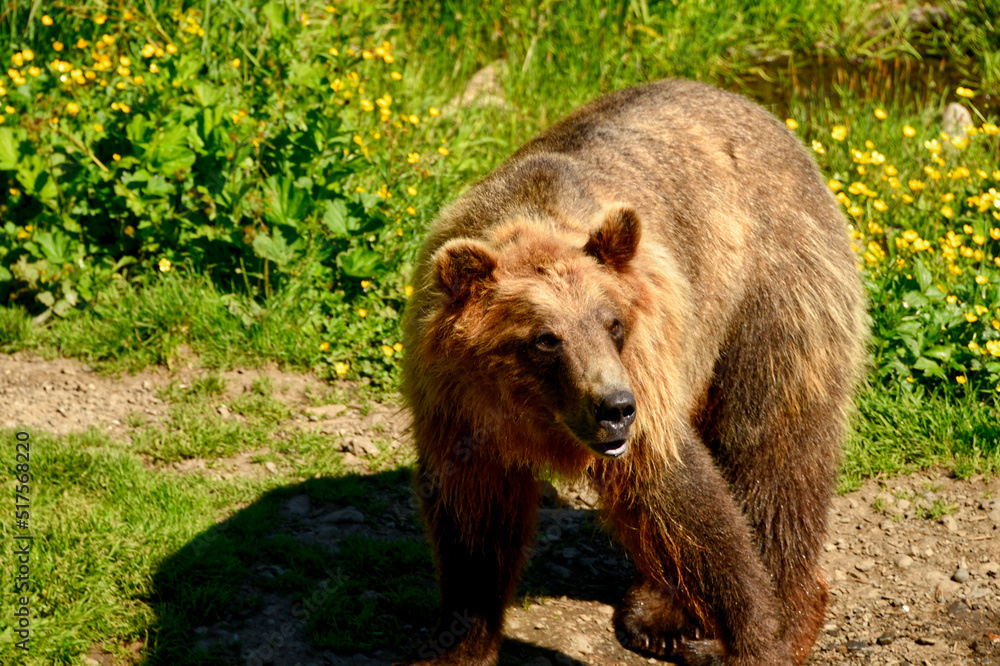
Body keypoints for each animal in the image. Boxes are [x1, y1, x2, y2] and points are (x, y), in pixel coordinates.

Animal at [400, 79, 866, 665]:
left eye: (613, 322)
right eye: (546, 338)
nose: (615, 408)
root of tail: (773, 120)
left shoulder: (647, 360)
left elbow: (679, 494)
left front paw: (757, 637)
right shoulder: (455, 404)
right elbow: (474, 521)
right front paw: (456, 642)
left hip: (772, 298)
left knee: (776, 454)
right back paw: (660, 611)